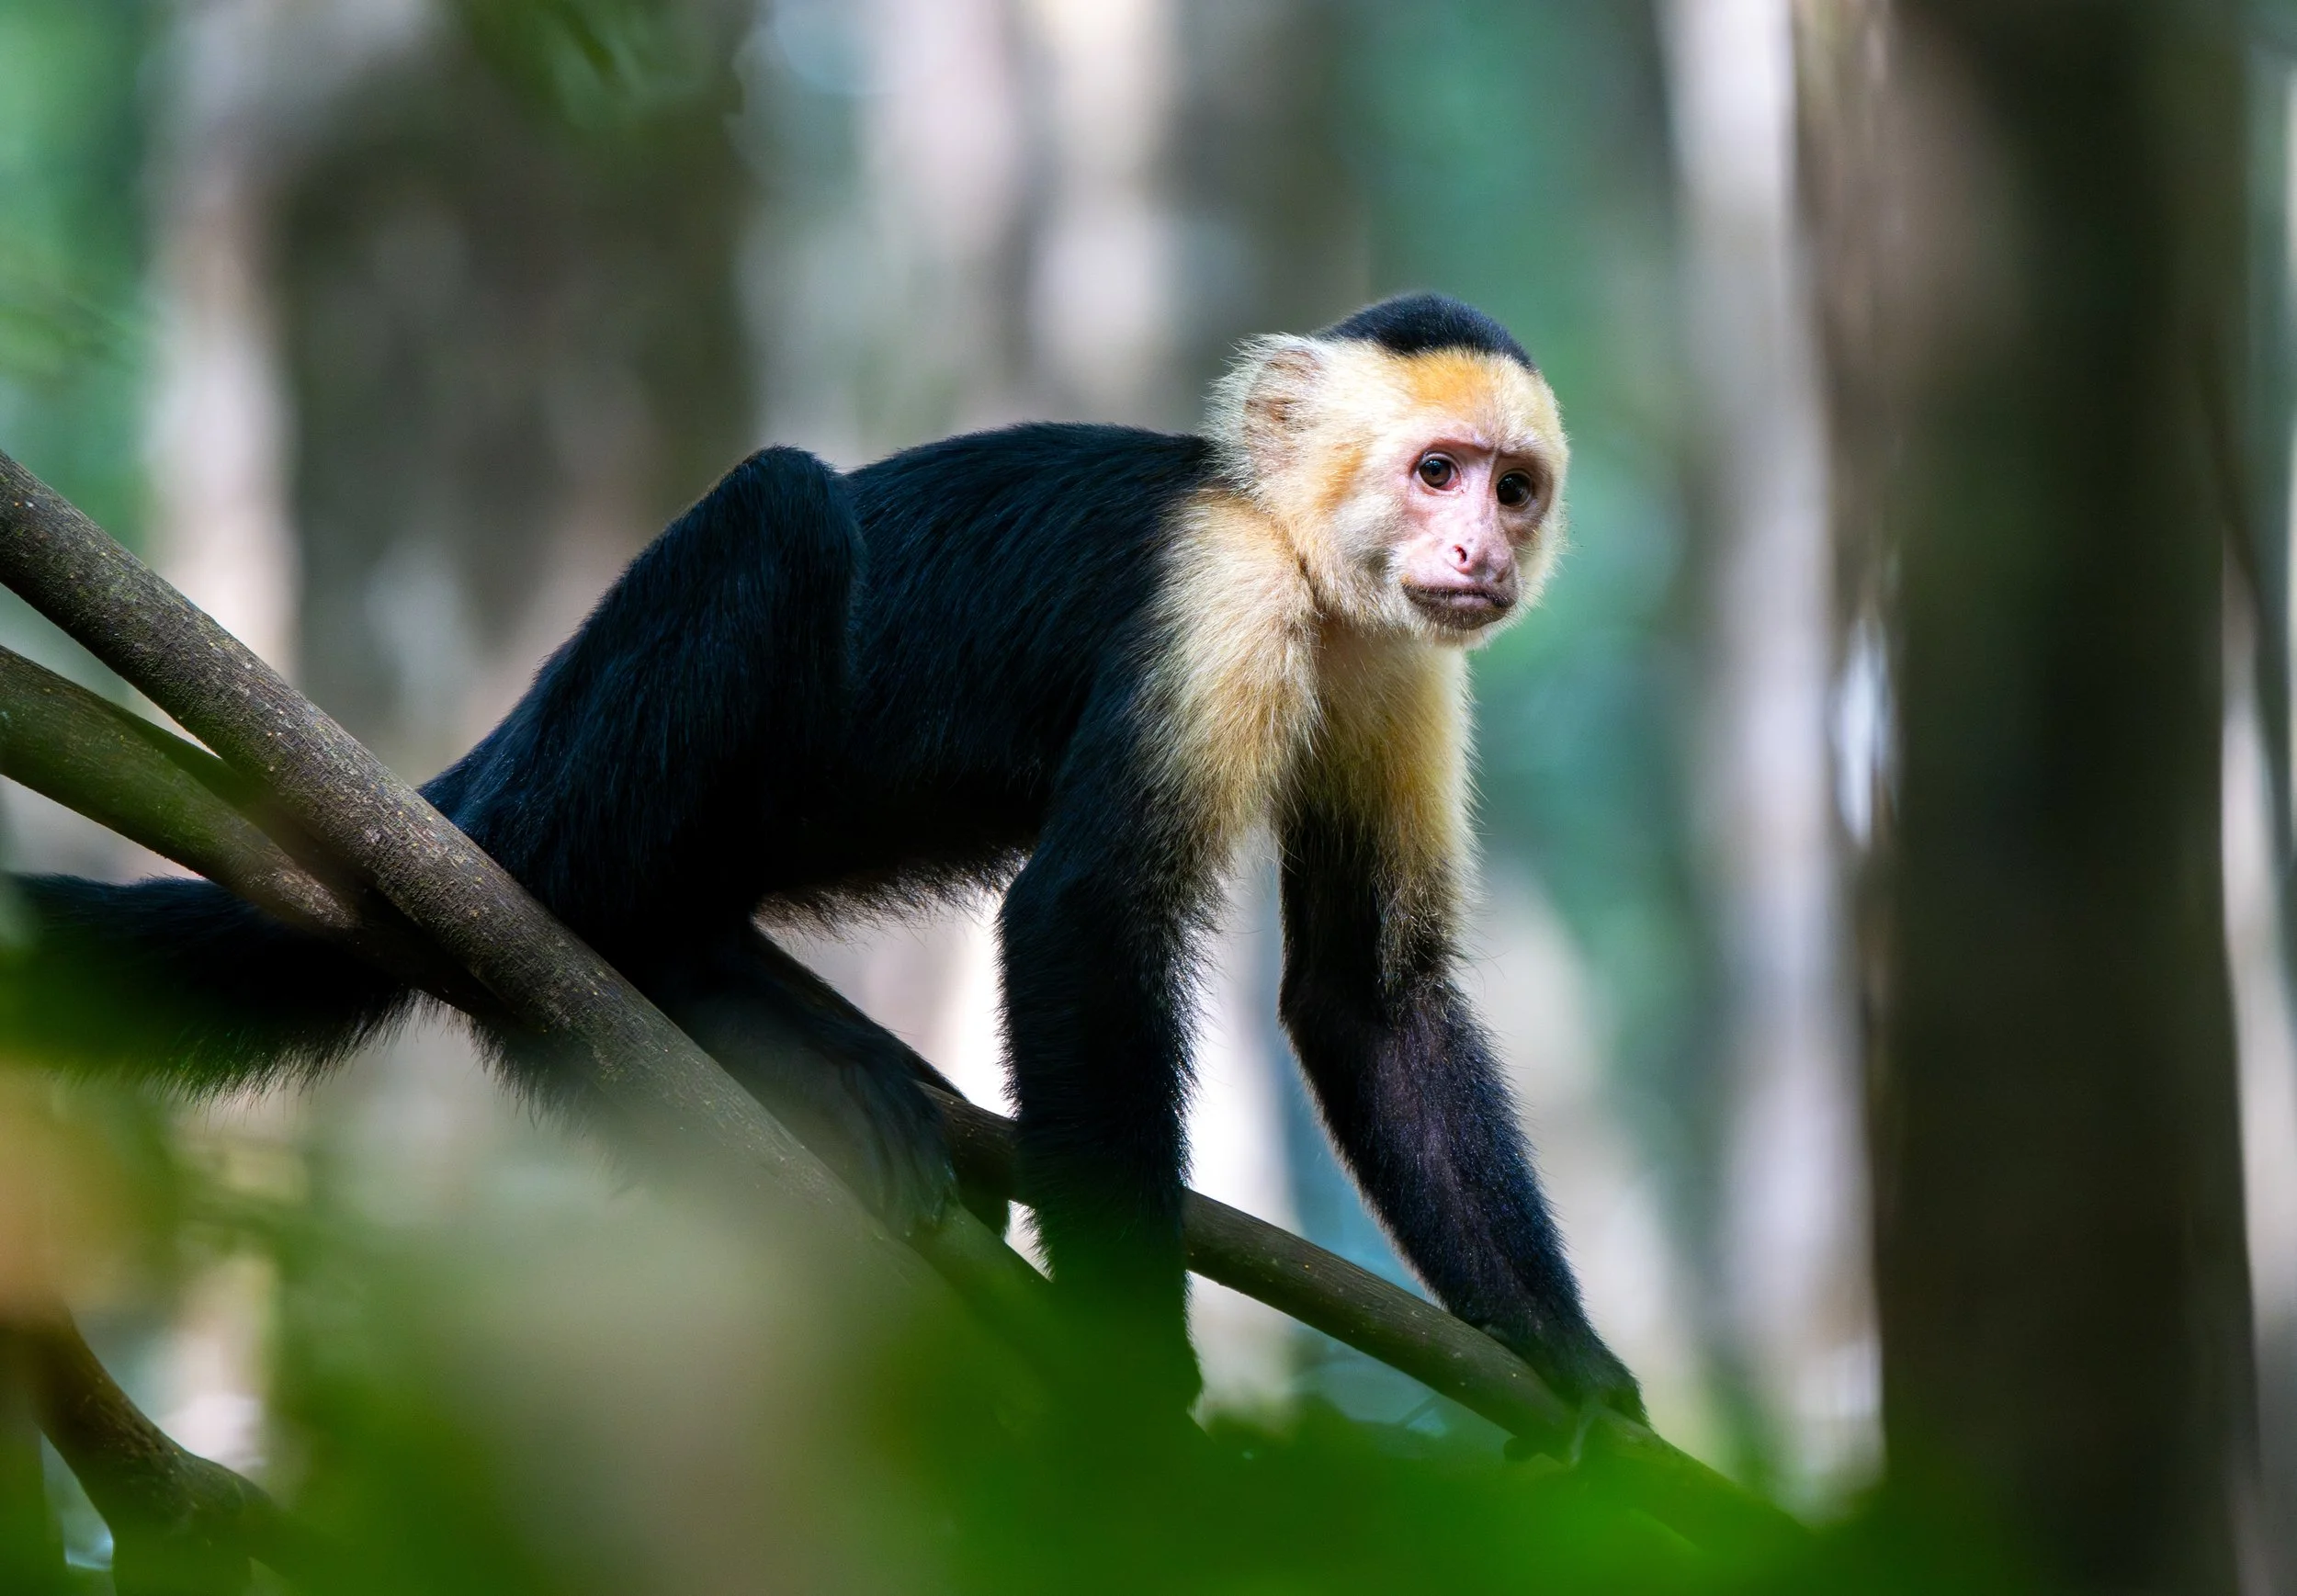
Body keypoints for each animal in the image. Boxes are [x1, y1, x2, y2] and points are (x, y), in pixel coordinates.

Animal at [2, 293, 1641, 1420]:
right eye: (1436, 470)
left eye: (1511, 488)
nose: (1483, 554)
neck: (1309, 567)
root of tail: (475, 779)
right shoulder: (1218, 593)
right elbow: (1086, 918)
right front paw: (1130, 1386)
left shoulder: (1406, 663)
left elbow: (1368, 995)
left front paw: (1571, 1368)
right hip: (556, 786)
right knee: (772, 520)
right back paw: (641, 974)